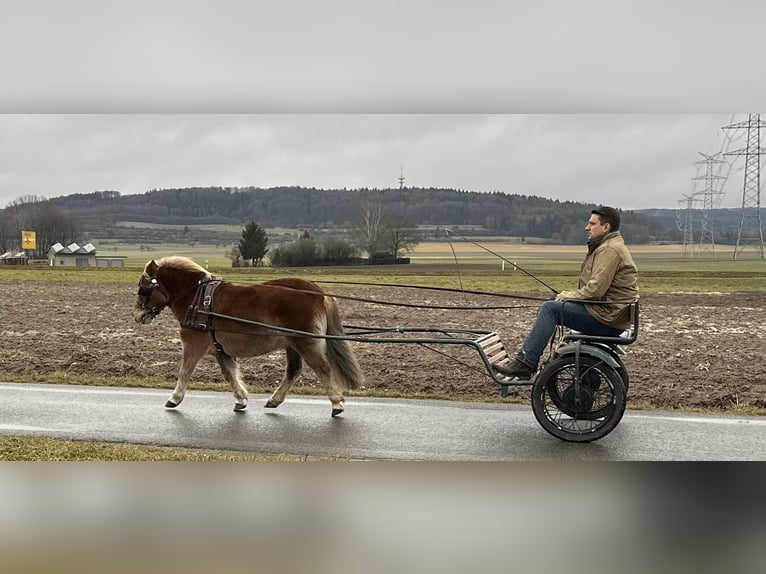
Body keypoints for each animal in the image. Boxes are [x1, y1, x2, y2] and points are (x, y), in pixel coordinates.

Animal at [133, 258, 366, 418]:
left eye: (144, 289)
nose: (137, 315)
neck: (196, 298)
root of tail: (319, 292)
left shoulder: (194, 343)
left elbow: (185, 371)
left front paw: (174, 399)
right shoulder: (219, 348)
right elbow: (229, 374)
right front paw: (241, 399)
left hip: (306, 341)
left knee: (323, 369)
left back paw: (336, 404)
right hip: (292, 343)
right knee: (293, 371)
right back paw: (274, 400)